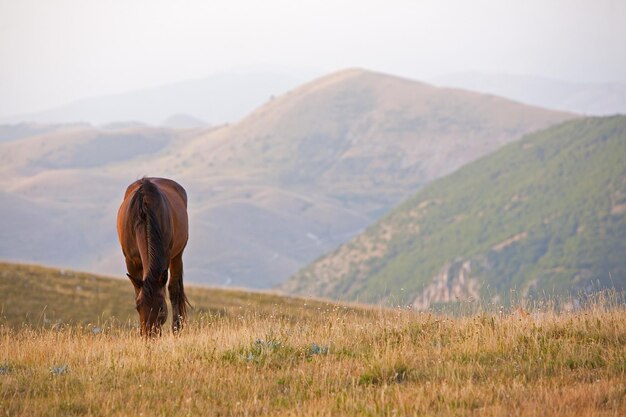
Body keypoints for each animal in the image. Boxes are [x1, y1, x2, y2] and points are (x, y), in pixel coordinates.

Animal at [115, 177, 188, 336]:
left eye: (161, 307)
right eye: (138, 307)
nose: (149, 335)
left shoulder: (166, 258)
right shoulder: (131, 262)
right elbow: (137, 291)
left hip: (177, 256)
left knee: (174, 289)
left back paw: (176, 328)